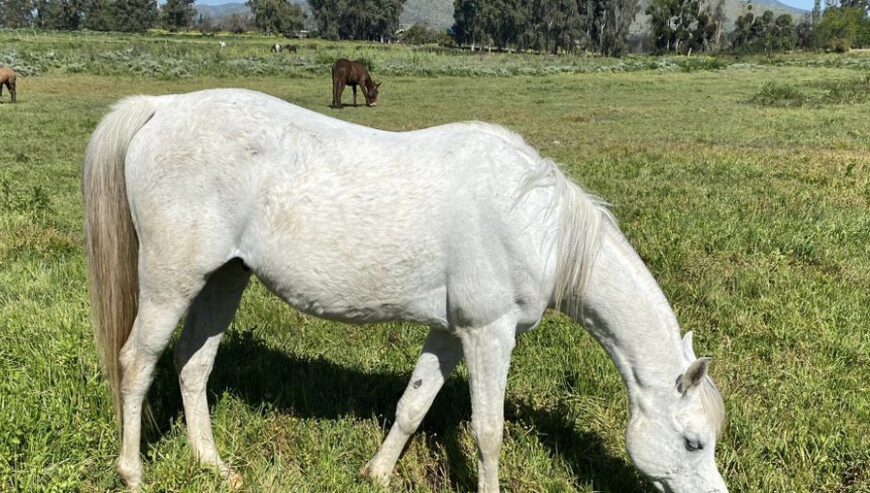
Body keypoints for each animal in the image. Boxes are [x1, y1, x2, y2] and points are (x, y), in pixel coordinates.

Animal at [85, 89, 728, 492]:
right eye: (694, 443)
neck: (535, 222)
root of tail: (162, 108)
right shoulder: (488, 335)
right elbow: (488, 431)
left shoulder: (449, 333)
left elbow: (413, 405)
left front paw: (375, 473)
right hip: (171, 282)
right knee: (137, 363)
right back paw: (132, 474)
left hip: (223, 279)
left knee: (193, 366)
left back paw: (213, 468)